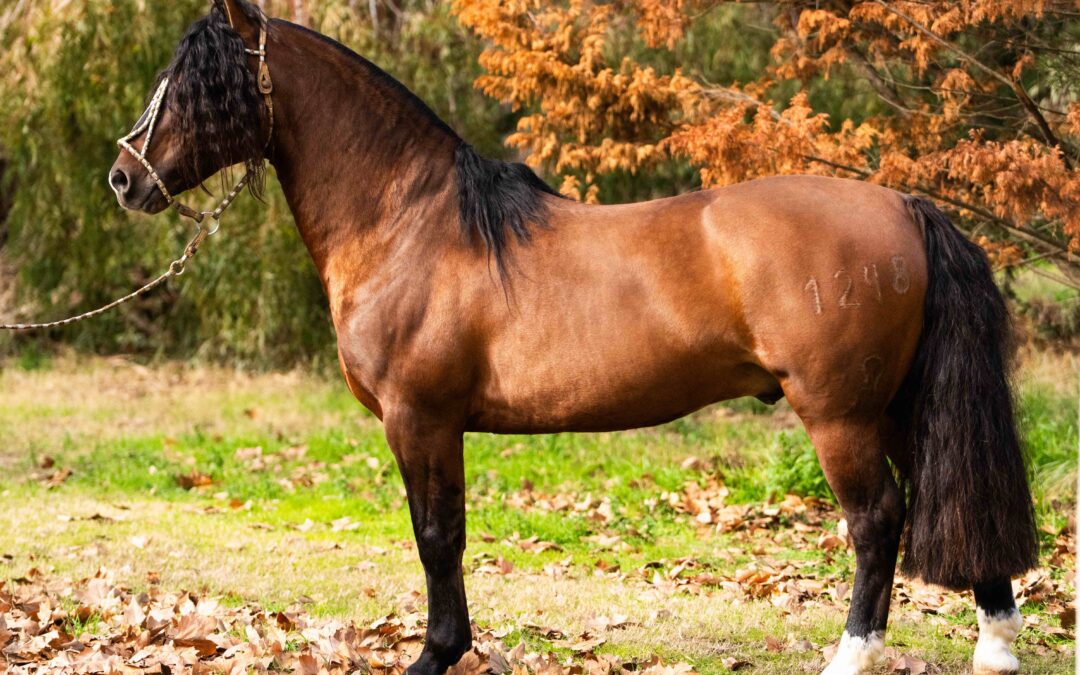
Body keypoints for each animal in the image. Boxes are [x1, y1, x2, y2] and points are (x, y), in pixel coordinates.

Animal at [108, 2, 1038, 673]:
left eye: (195, 84)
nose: (123, 178)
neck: (411, 224)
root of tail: (904, 206)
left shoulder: (420, 419)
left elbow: (437, 537)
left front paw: (436, 655)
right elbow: (443, 536)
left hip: (841, 413)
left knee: (878, 523)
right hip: (901, 405)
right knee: (958, 504)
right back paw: (995, 645)